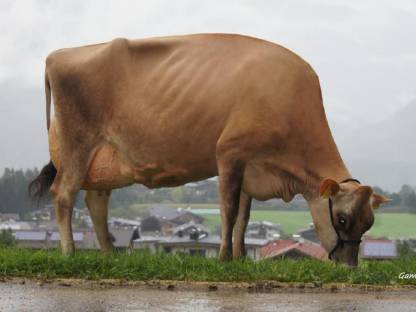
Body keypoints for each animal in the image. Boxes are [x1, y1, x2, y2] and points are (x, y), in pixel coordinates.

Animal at [29, 33, 390, 264]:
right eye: (342, 219)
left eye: (369, 223)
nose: (349, 265)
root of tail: (57, 55)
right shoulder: (229, 153)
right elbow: (228, 211)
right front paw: (223, 258)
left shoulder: (251, 167)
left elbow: (244, 216)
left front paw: (241, 257)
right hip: (78, 143)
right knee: (64, 194)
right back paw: (69, 252)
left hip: (104, 161)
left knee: (96, 203)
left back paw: (108, 255)